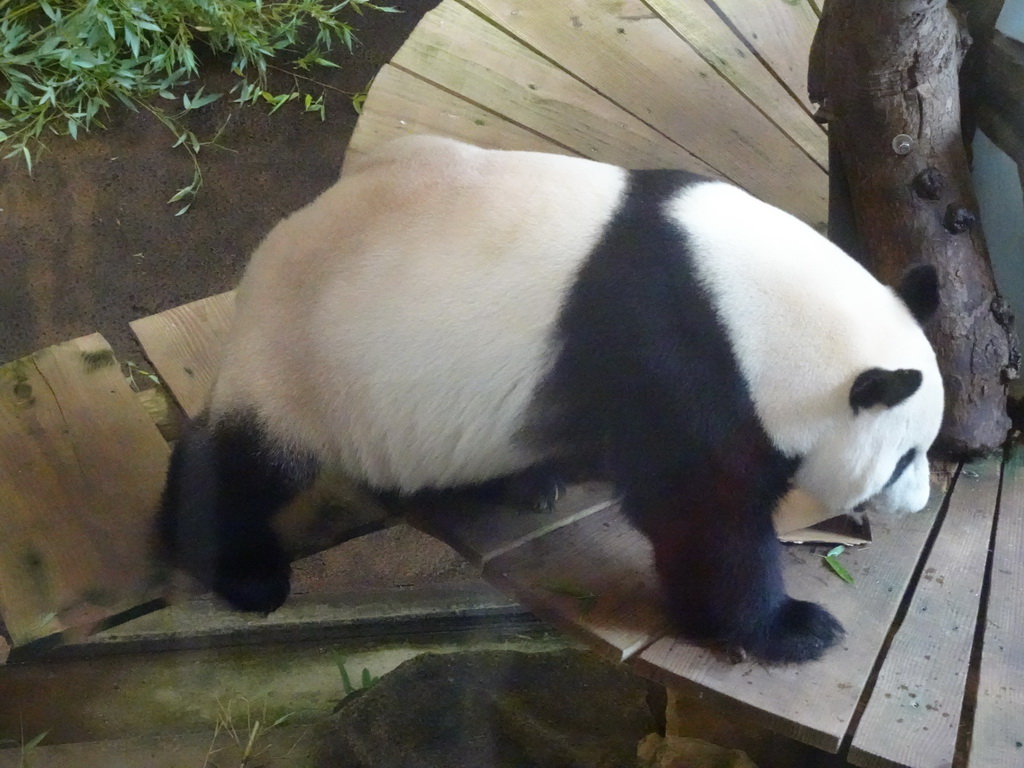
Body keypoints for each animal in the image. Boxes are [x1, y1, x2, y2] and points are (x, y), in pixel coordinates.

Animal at [157, 135, 942, 663]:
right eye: (905, 457)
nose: (917, 503)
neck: (758, 306)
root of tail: (262, 265)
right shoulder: (675, 359)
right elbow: (699, 516)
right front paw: (793, 627)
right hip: (309, 361)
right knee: (247, 462)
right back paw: (240, 567)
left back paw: (530, 482)